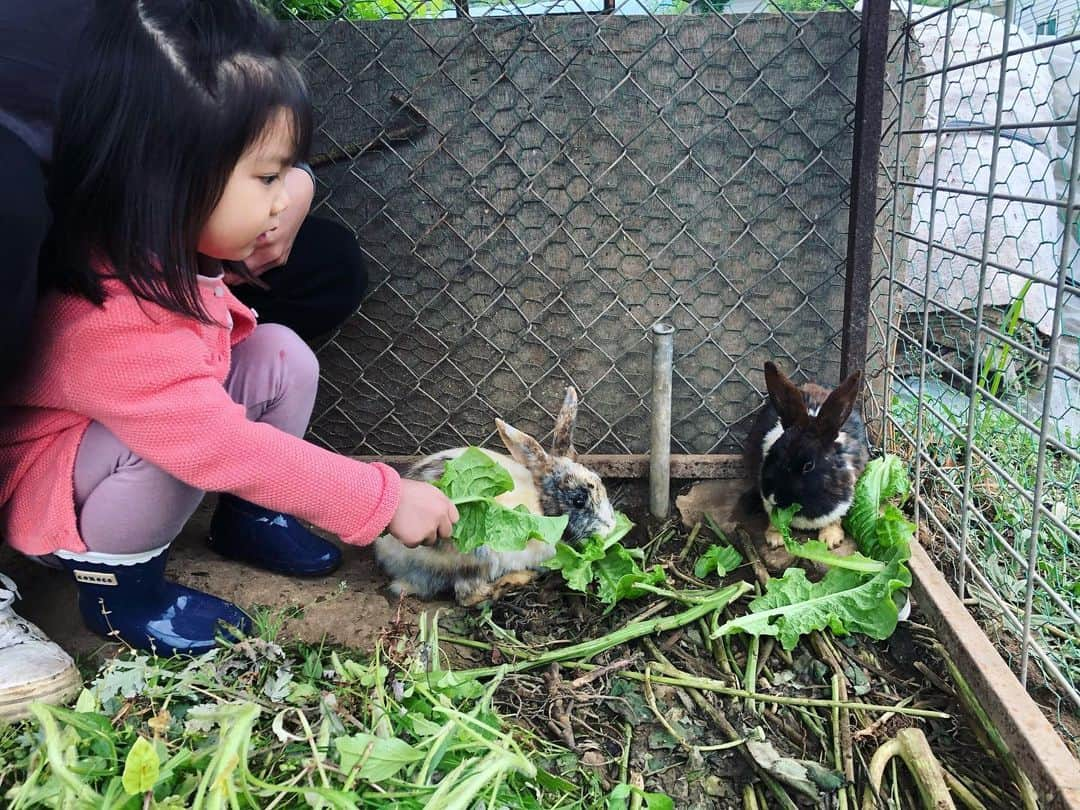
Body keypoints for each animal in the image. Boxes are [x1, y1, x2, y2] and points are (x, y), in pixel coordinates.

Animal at [375, 388, 617, 609]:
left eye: (600, 481)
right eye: (578, 500)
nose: (611, 527)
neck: (541, 504)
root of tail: (391, 556)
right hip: (476, 554)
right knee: (468, 595)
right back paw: (516, 580)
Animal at [743, 362, 868, 548]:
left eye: (808, 466)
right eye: (774, 452)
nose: (774, 496)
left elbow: (836, 519)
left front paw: (830, 540)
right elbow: (774, 519)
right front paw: (775, 538)